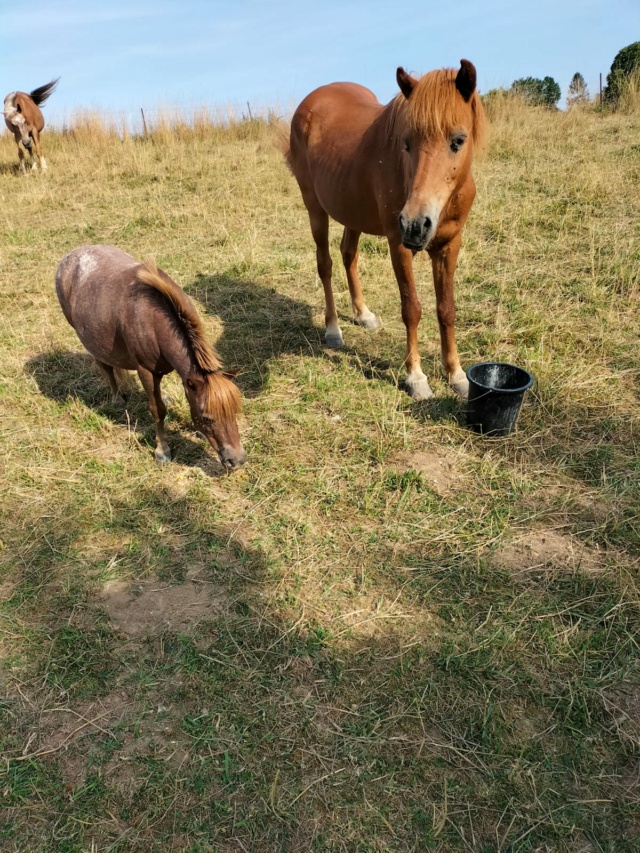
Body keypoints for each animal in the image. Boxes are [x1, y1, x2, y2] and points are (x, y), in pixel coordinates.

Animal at [55, 246, 248, 470]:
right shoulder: (145, 371)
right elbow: (158, 410)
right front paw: (162, 450)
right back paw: (116, 398)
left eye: (234, 411)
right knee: (106, 367)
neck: (154, 321)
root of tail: (72, 255)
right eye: (207, 418)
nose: (237, 460)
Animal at [286, 60, 484, 400]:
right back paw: (333, 329)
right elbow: (412, 309)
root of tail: (312, 100)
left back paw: (363, 314)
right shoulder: (399, 245)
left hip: (352, 212)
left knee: (348, 255)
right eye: (406, 143)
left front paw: (456, 374)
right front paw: (416, 377)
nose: (415, 224)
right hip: (315, 210)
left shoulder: (449, 244)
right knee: (325, 265)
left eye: (458, 140)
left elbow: (446, 309)